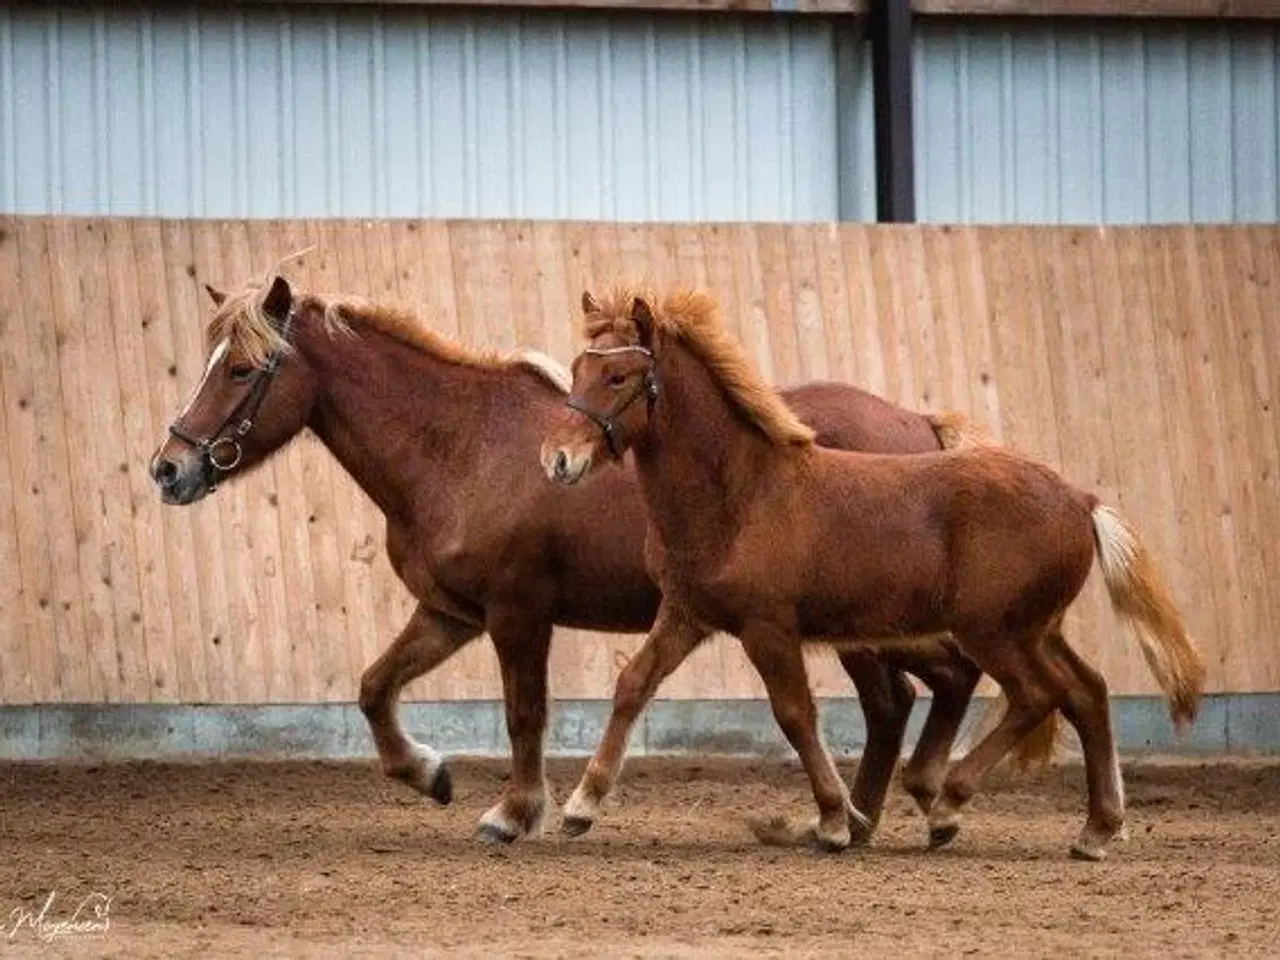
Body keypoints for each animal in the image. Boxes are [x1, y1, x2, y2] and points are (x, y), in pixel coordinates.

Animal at [147, 272, 1039, 849]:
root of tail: (917, 425)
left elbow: (524, 714)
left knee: (922, 690)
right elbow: (374, 688)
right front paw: (431, 774)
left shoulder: (517, 614)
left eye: (240, 368)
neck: (459, 446)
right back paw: (865, 816)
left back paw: (887, 810)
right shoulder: (451, 614)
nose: (169, 468)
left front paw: (515, 813)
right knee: (906, 698)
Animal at [540, 289, 1208, 860]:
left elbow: (795, 715)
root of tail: (1081, 500)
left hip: (992, 632)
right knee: (1086, 693)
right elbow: (633, 684)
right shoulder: (687, 614)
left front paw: (837, 819)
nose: (557, 459)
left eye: (619, 377)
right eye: (577, 369)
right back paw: (1097, 828)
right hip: (1035, 629)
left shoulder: (768, 628)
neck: (740, 493)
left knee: (1036, 695)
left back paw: (948, 806)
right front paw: (579, 806)